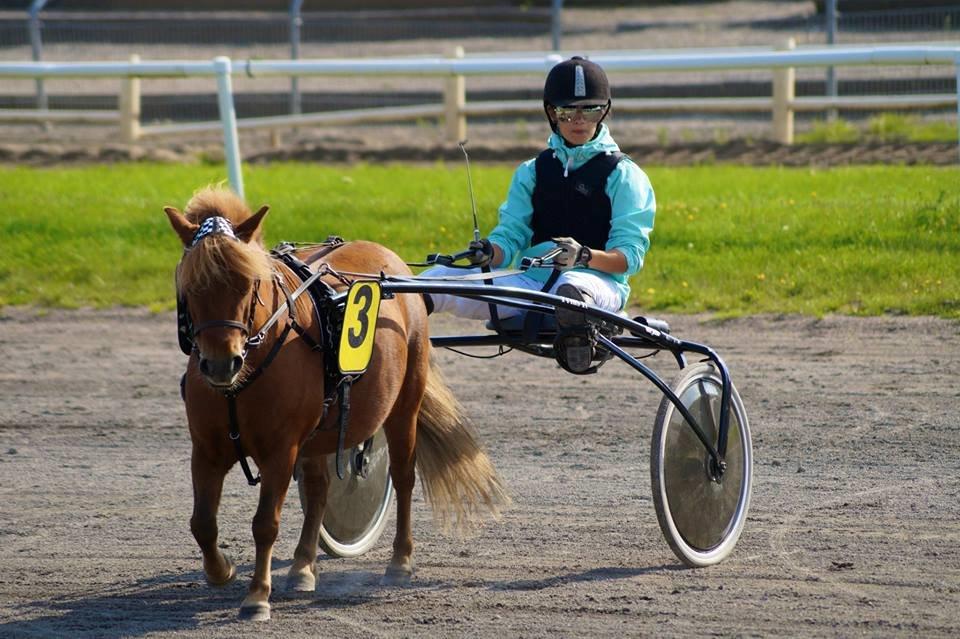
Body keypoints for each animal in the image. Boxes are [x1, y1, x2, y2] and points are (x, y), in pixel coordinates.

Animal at [165, 188, 510, 624]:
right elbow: (202, 523)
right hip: (321, 430)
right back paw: (303, 566)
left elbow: (265, 523)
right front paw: (221, 570)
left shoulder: (281, 450)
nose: (221, 363)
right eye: (190, 284)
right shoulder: (207, 449)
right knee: (319, 489)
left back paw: (400, 561)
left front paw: (257, 596)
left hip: (404, 405)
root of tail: (389, 258)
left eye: (249, 282)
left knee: (403, 475)